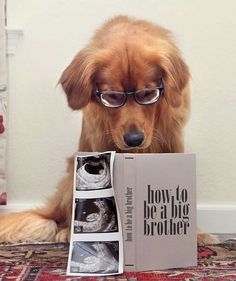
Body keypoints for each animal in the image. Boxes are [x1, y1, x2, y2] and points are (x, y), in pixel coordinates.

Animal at [0, 15, 216, 243]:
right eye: (112, 96)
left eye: (147, 93)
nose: (134, 139)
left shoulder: (173, 142)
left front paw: (193, 235)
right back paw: (67, 232)